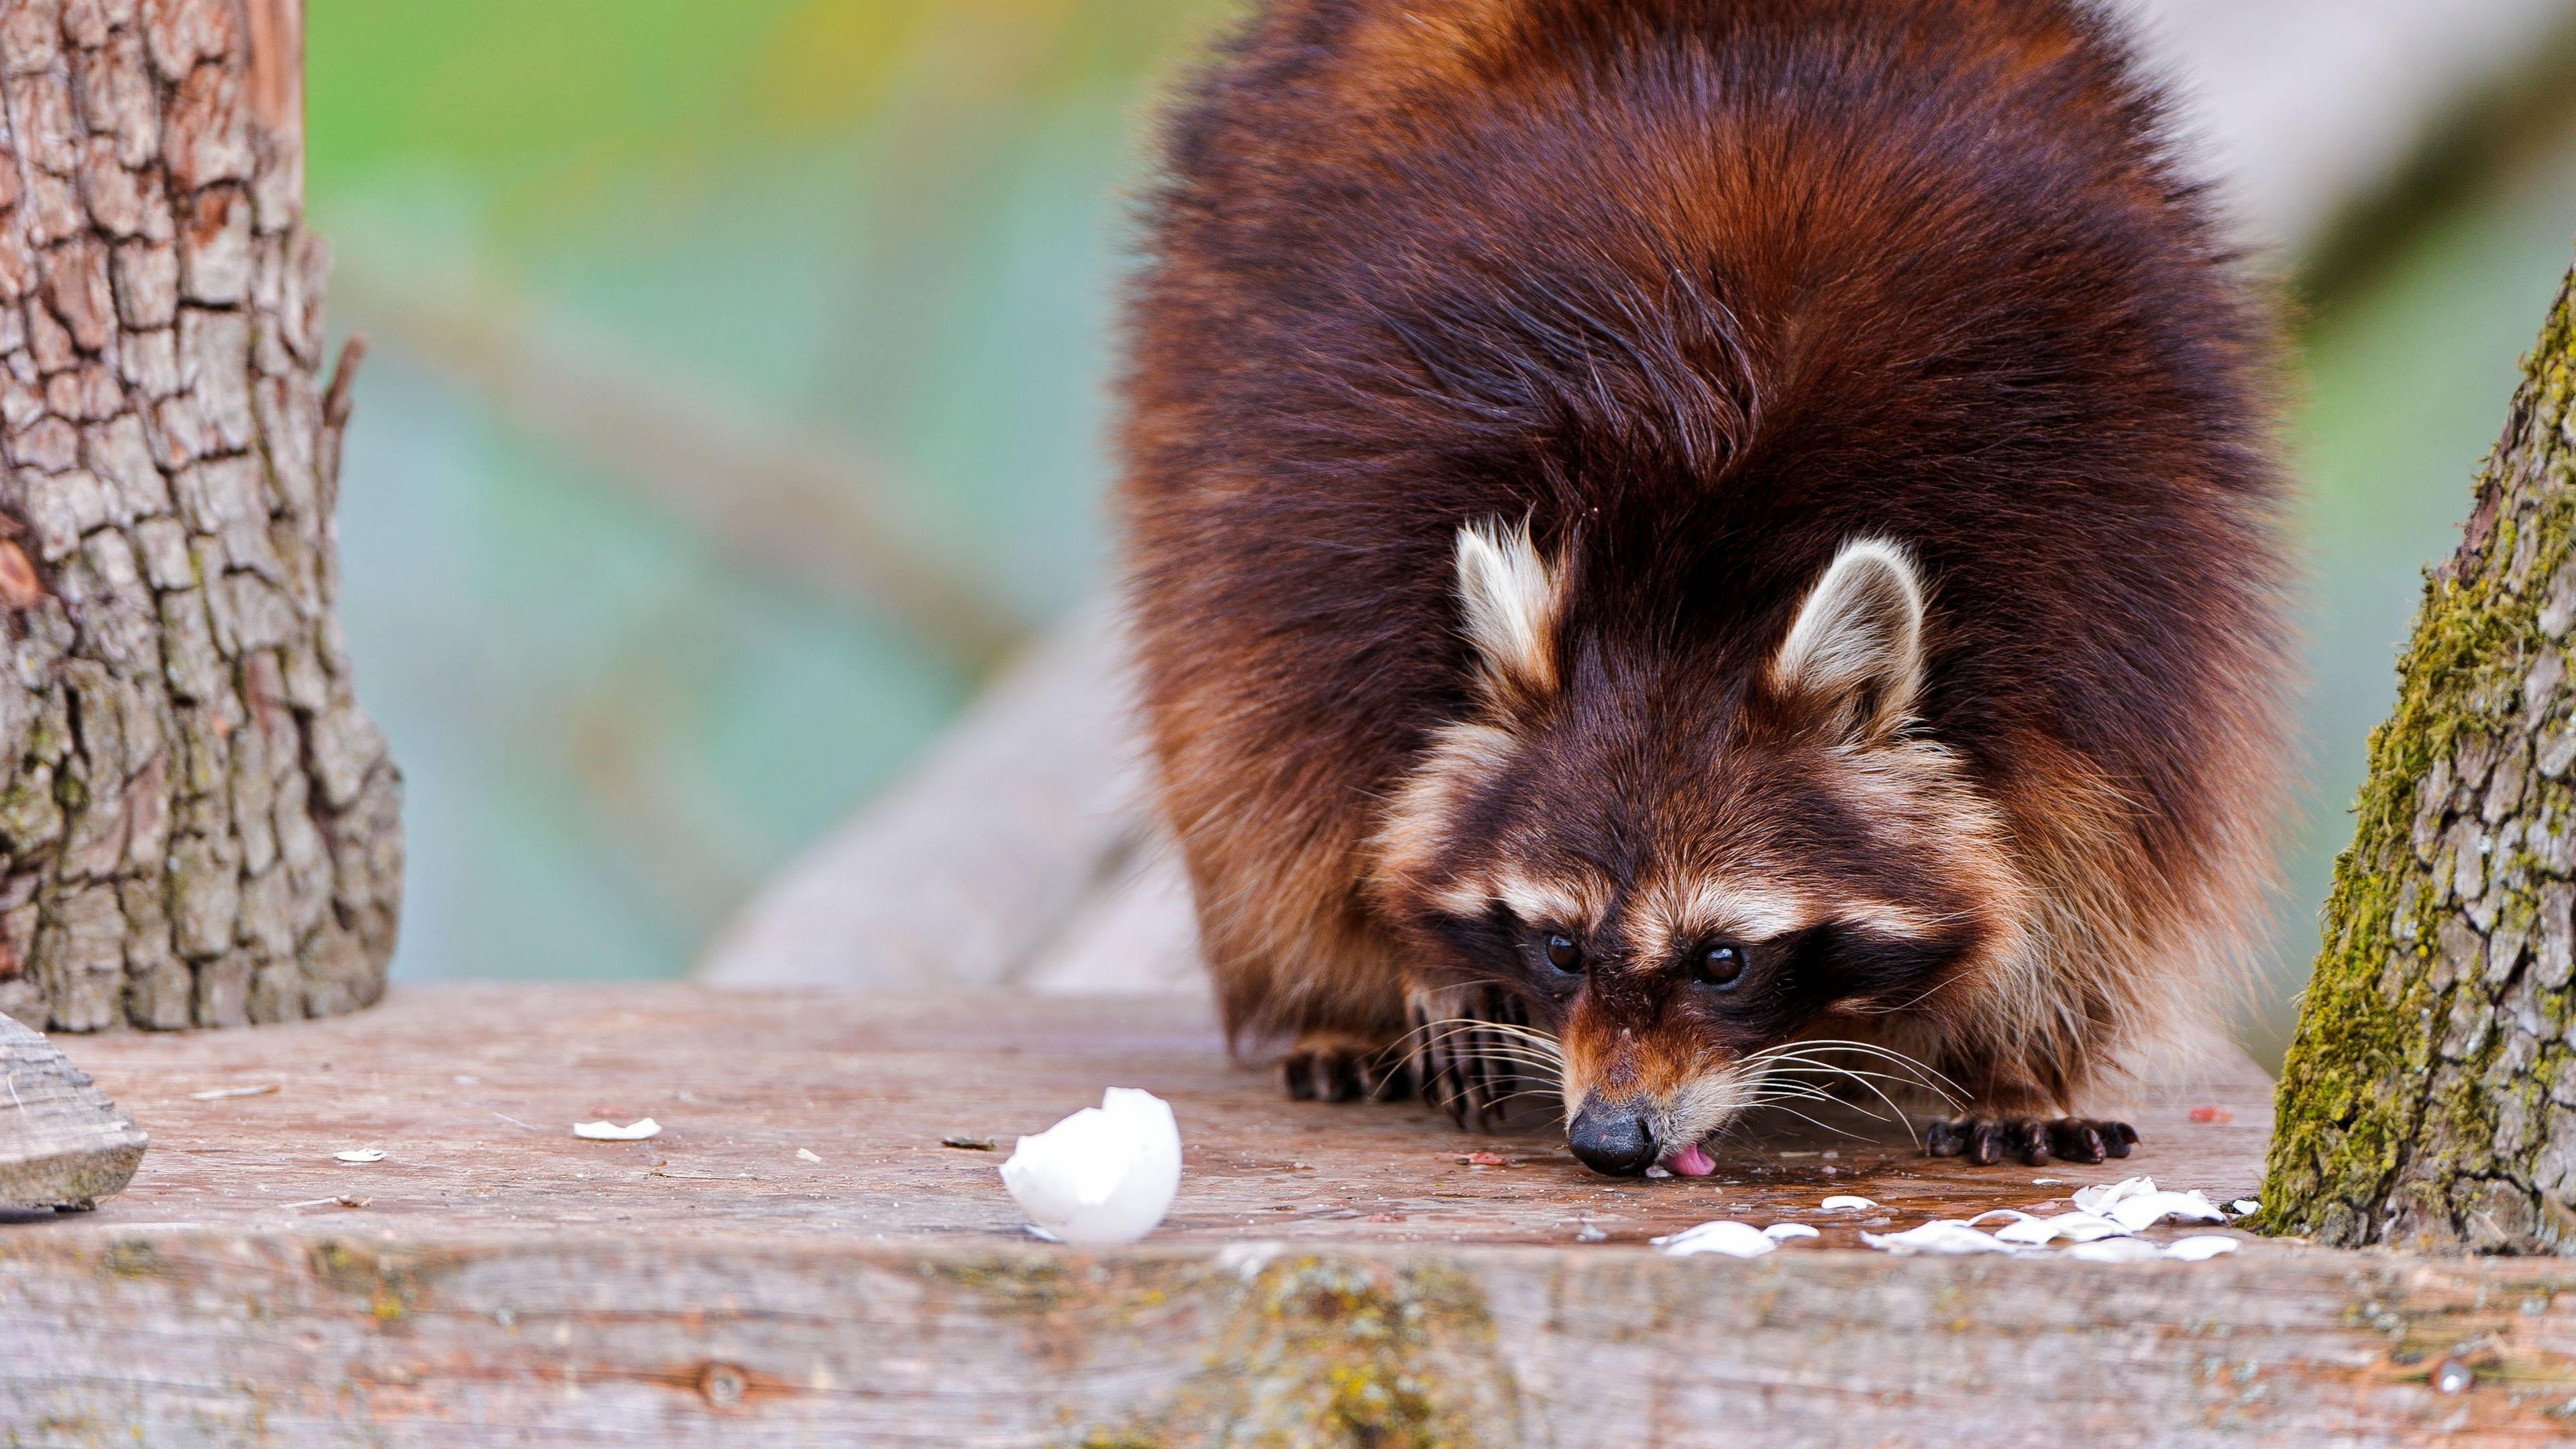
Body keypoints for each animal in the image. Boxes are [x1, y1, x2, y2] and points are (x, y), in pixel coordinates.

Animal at [1118, 0, 2287, 1175]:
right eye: (1560, 947)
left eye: (1722, 959)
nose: (1610, 1140)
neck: (1687, 595)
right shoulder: (1338, 531)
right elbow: (1318, 769)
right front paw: (1424, 966)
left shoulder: (2102, 566)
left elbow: (2100, 832)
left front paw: (2022, 1048)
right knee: (1240, 774)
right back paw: (1336, 1004)